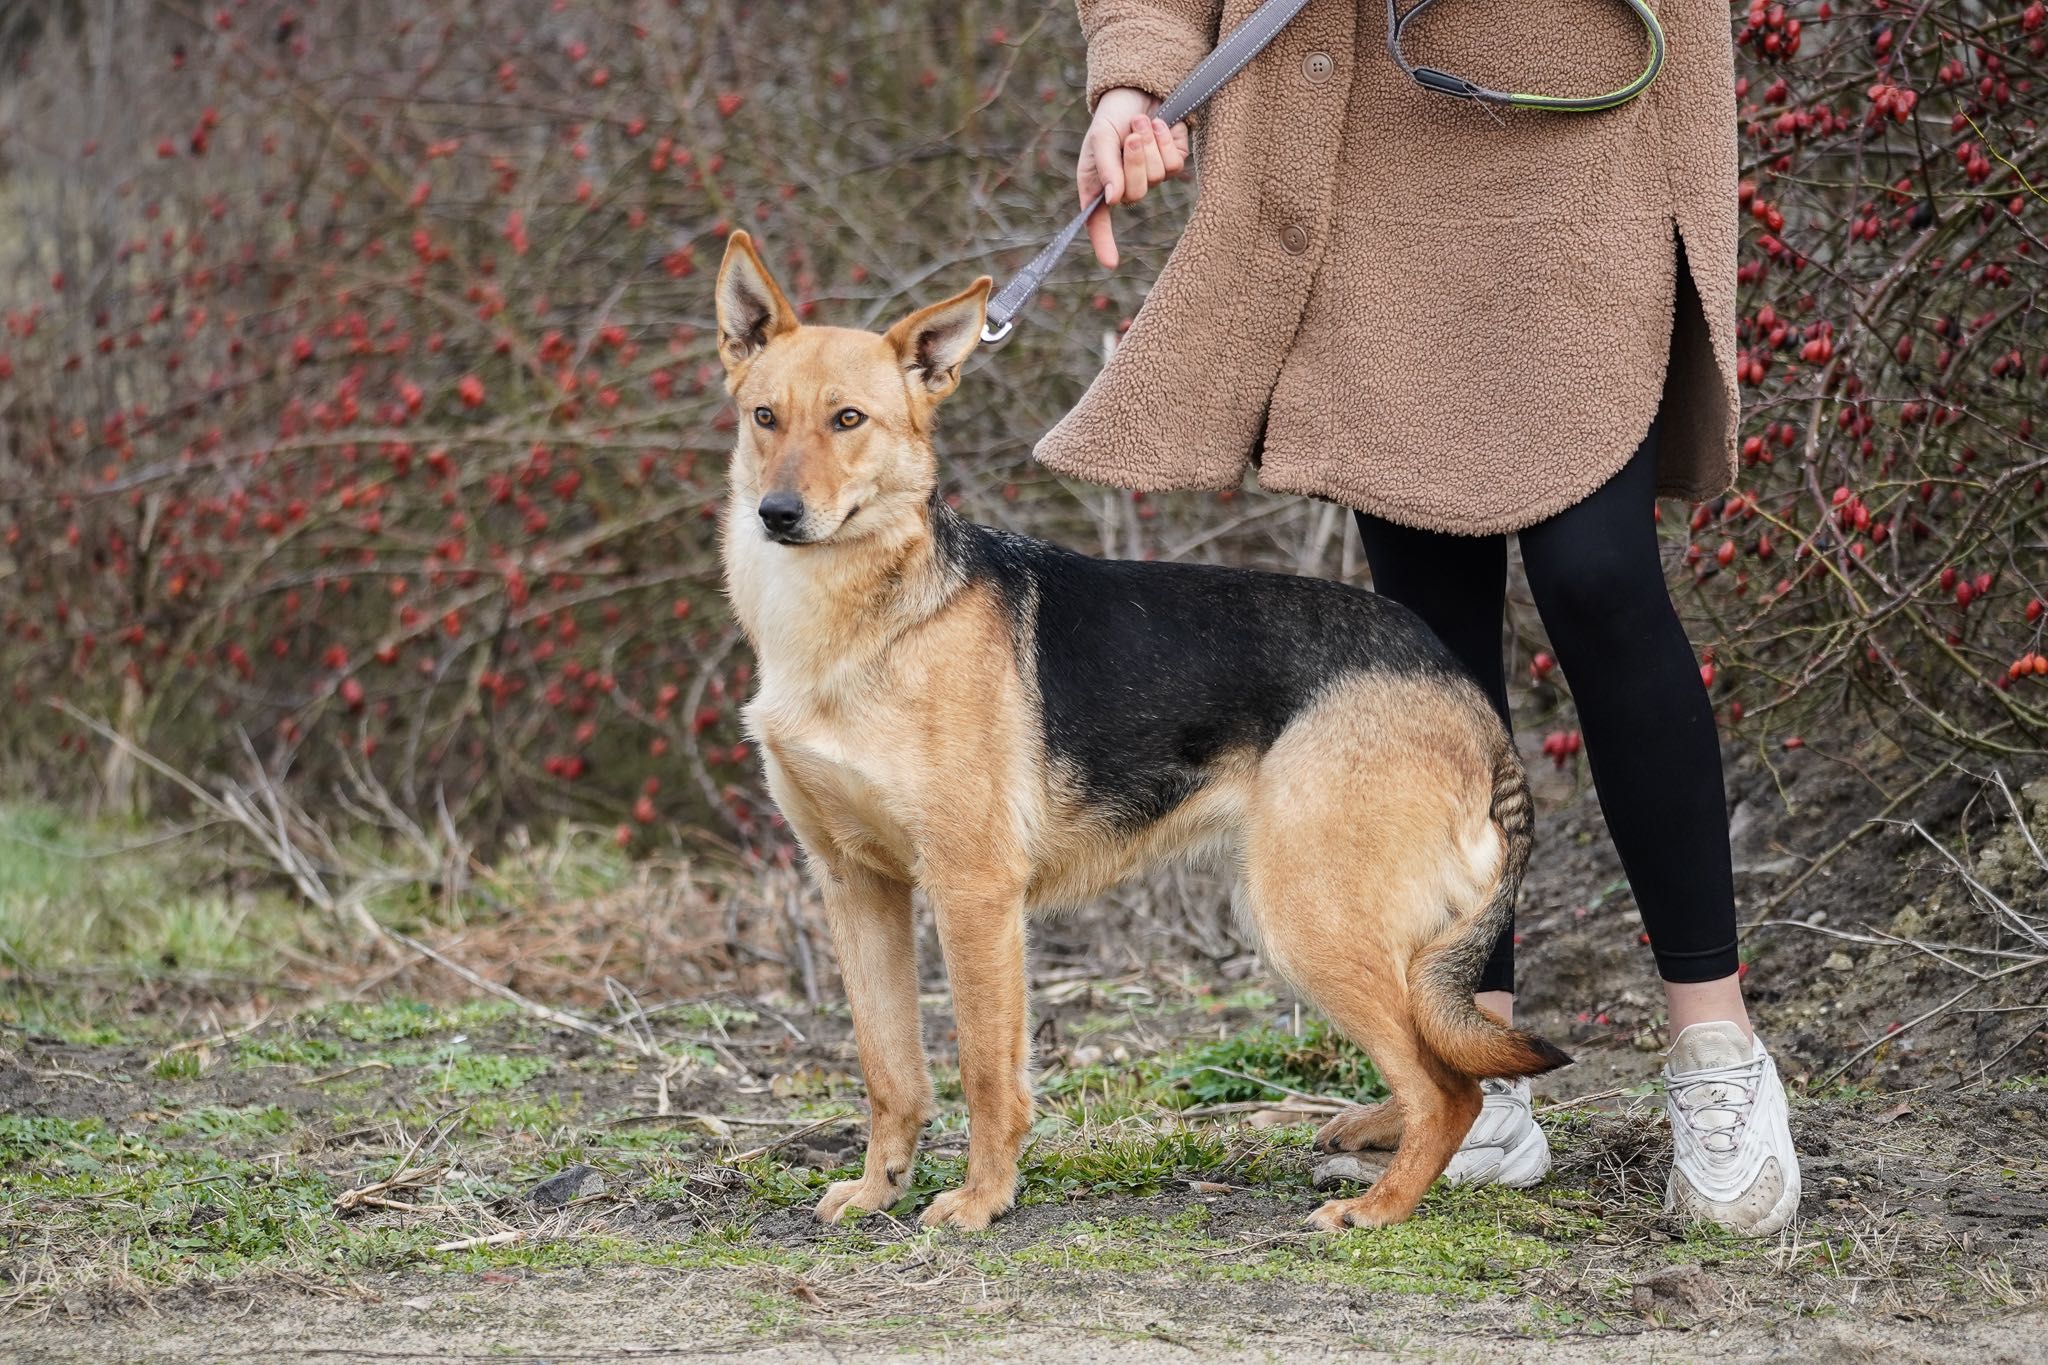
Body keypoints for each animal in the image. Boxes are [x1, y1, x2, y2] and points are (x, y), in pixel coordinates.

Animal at [712, 235, 1572, 1236]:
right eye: (765, 417)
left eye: (848, 420)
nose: (777, 515)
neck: (862, 620)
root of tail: (1464, 689)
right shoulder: (858, 887)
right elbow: (891, 1070)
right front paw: (881, 1185)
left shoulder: (973, 892)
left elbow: (983, 1069)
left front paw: (982, 1198)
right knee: (1441, 1059)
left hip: (1304, 920)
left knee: (1449, 1089)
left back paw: (1378, 1206)